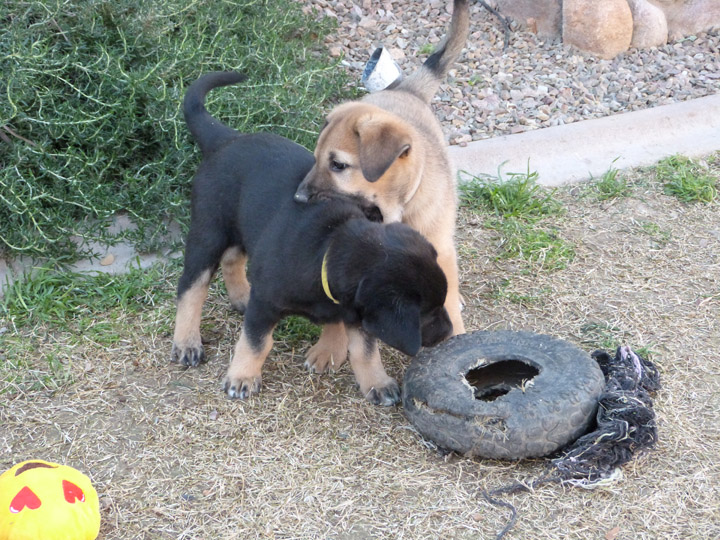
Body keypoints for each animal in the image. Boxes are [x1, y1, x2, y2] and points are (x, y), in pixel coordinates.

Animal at [172, 71, 450, 404]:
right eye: (426, 314)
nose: (450, 333)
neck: (327, 248)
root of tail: (225, 139)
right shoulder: (265, 304)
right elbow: (255, 342)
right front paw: (242, 377)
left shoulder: (355, 312)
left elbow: (365, 350)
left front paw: (377, 383)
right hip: (208, 232)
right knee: (191, 287)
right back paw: (186, 341)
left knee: (232, 258)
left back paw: (240, 296)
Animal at [296, 0, 470, 376]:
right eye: (315, 159)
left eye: (338, 165)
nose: (298, 198)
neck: (393, 211)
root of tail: (406, 90)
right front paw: (331, 345)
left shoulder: (436, 249)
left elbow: (446, 296)